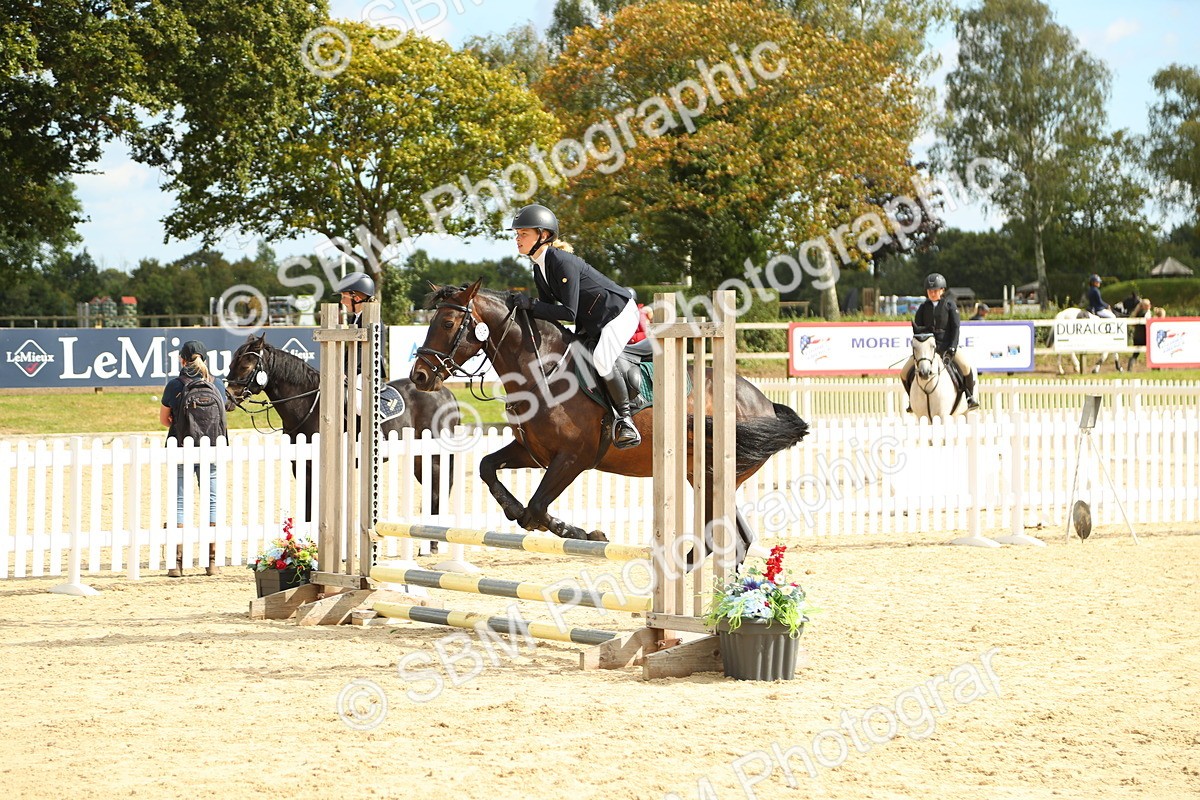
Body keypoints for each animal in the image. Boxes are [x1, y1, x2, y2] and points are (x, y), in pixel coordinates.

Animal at [224, 334, 460, 521]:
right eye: (230, 364)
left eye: (245, 366)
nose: (228, 398)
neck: (310, 404)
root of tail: (446, 393)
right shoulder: (302, 468)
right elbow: (309, 510)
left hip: (434, 458)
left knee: (437, 493)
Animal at [408, 279, 809, 564]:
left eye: (448, 322)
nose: (419, 377)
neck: (543, 372)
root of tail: (763, 402)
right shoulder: (532, 451)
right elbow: (488, 469)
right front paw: (515, 510)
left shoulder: (574, 458)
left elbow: (536, 509)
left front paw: (579, 532)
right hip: (703, 478)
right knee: (735, 539)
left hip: (712, 477)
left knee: (722, 539)